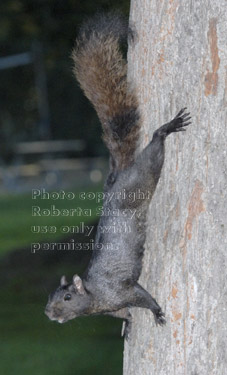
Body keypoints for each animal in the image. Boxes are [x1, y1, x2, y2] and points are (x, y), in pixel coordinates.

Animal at [45, 13, 191, 340]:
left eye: (68, 297)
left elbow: (143, 297)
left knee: (154, 148)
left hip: (143, 177)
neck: (95, 298)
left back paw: (167, 129)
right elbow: (124, 313)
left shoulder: (123, 290)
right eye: (50, 296)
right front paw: (126, 325)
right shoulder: (113, 307)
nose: (48, 313)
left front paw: (157, 312)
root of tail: (118, 178)